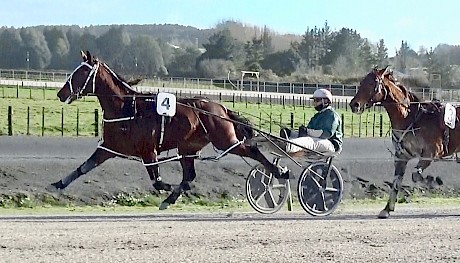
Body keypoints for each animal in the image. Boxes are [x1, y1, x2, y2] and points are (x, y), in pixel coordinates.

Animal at [48, 50, 282, 209]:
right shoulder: (109, 148)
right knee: (190, 175)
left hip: (225, 141)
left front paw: (170, 189)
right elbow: (83, 167)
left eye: (81, 72)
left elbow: (158, 182)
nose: (60, 93)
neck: (127, 108)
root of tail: (222, 108)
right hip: (187, 148)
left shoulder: (148, 151)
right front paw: (58, 183)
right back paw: (170, 199)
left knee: (252, 151)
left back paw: (279, 171)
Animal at [348, 67, 460, 220]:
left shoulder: (430, 153)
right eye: (361, 82)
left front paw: (433, 182)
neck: (411, 118)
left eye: (373, 82)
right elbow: (396, 182)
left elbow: (416, 176)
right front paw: (386, 209)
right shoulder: (401, 156)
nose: (354, 104)